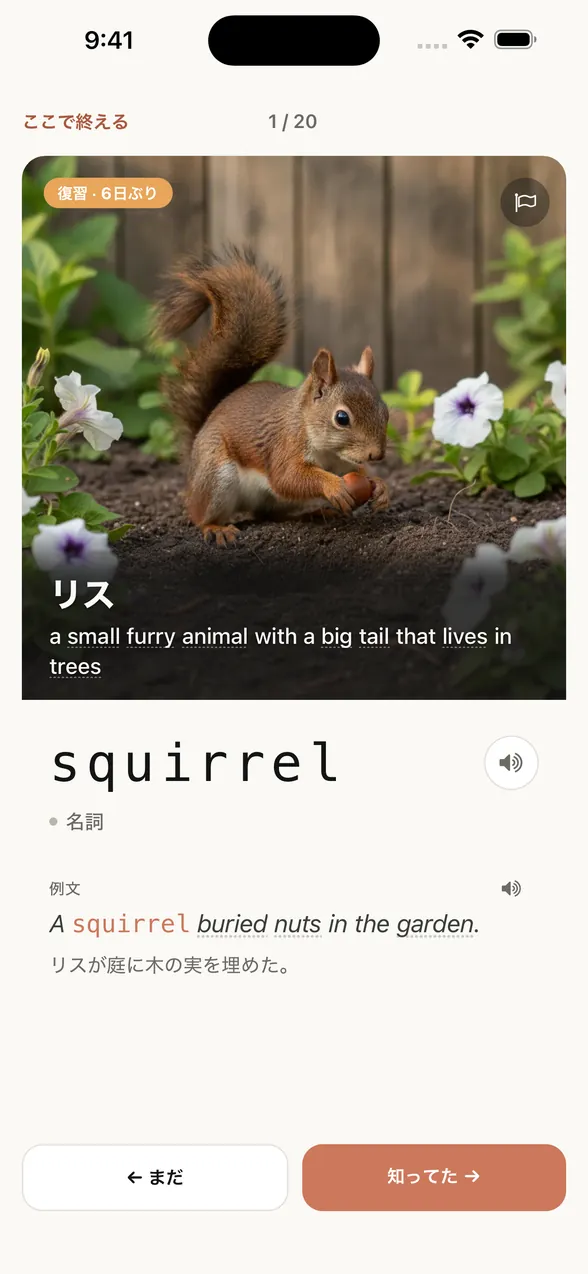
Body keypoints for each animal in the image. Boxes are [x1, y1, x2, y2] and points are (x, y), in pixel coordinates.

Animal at [154, 246, 390, 546]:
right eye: (341, 418)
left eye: (385, 412)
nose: (376, 455)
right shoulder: (284, 445)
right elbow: (288, 477)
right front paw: (333, 486)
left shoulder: (341, 461)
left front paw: (380, 486)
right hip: (216, 476)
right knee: (201, 515)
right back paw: (216, 528)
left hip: (276, 500)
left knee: (272, 514)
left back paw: (313, 514)